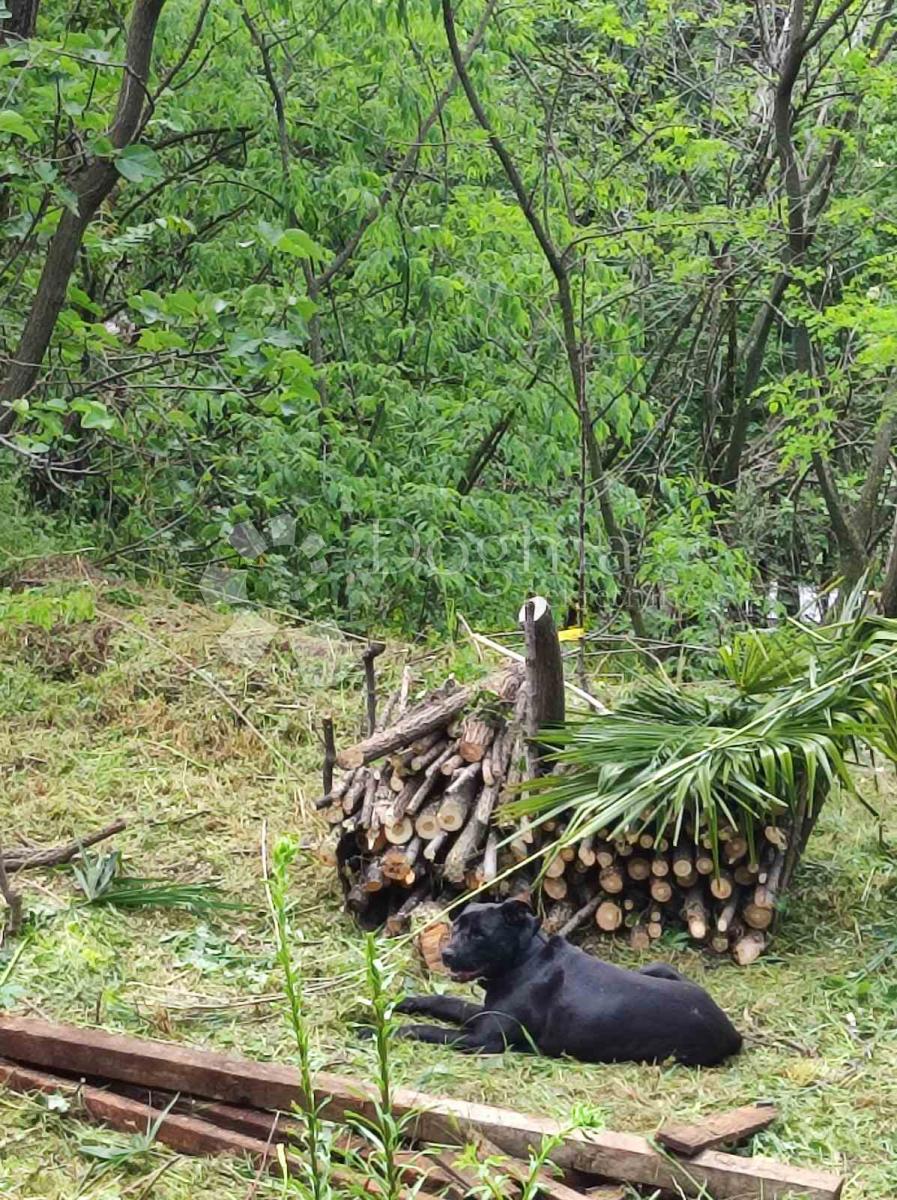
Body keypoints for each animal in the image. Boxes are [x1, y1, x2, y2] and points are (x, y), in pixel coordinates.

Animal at [398, 902, 743, 1070]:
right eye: (456, 927)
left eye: (480, 934)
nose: (446, 954)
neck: (525, 959)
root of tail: (732, 1032)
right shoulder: (482, 1014)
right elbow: (446, 1003)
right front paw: (406, 1003)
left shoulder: (485, 1041)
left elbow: (430, 1030)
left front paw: (393, 1030)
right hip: (658, 967)